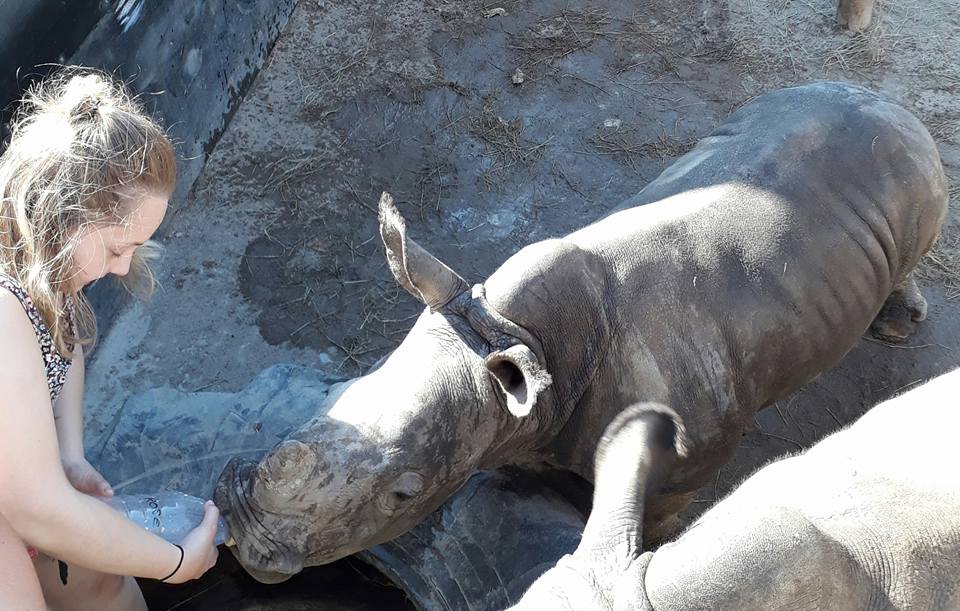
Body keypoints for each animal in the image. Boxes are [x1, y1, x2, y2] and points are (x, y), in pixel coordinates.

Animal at [215, 81, 947, 583]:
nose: (244, 536)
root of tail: (894, 104)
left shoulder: (685, 462)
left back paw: (896, 328)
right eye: (338, 390)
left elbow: (650, 510)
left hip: (913, 173)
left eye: (406, 494)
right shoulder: (518, 408)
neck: (513, 334)